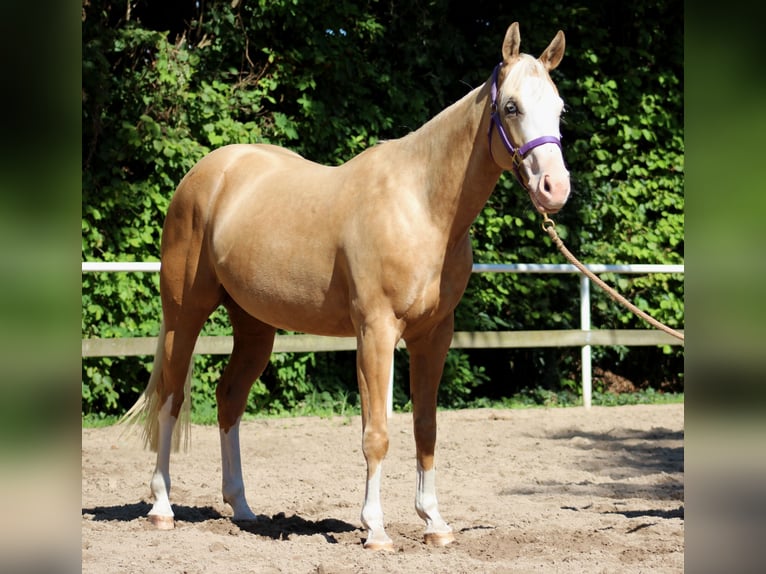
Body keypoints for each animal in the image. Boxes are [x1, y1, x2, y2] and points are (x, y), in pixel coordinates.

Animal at [123, 22, 568, 552]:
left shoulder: (434, 335)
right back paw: (162, 507)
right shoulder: (375, 332)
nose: (555, 188)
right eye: (512, 106)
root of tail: (207, 173)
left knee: (229, 398)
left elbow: (426, 427)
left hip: (254, 326)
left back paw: (244, 509)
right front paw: (375, 529)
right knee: (170, 396)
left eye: (559, 108)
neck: (421, 205)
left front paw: (434, 523)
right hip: (184, 313)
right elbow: (376, 432)